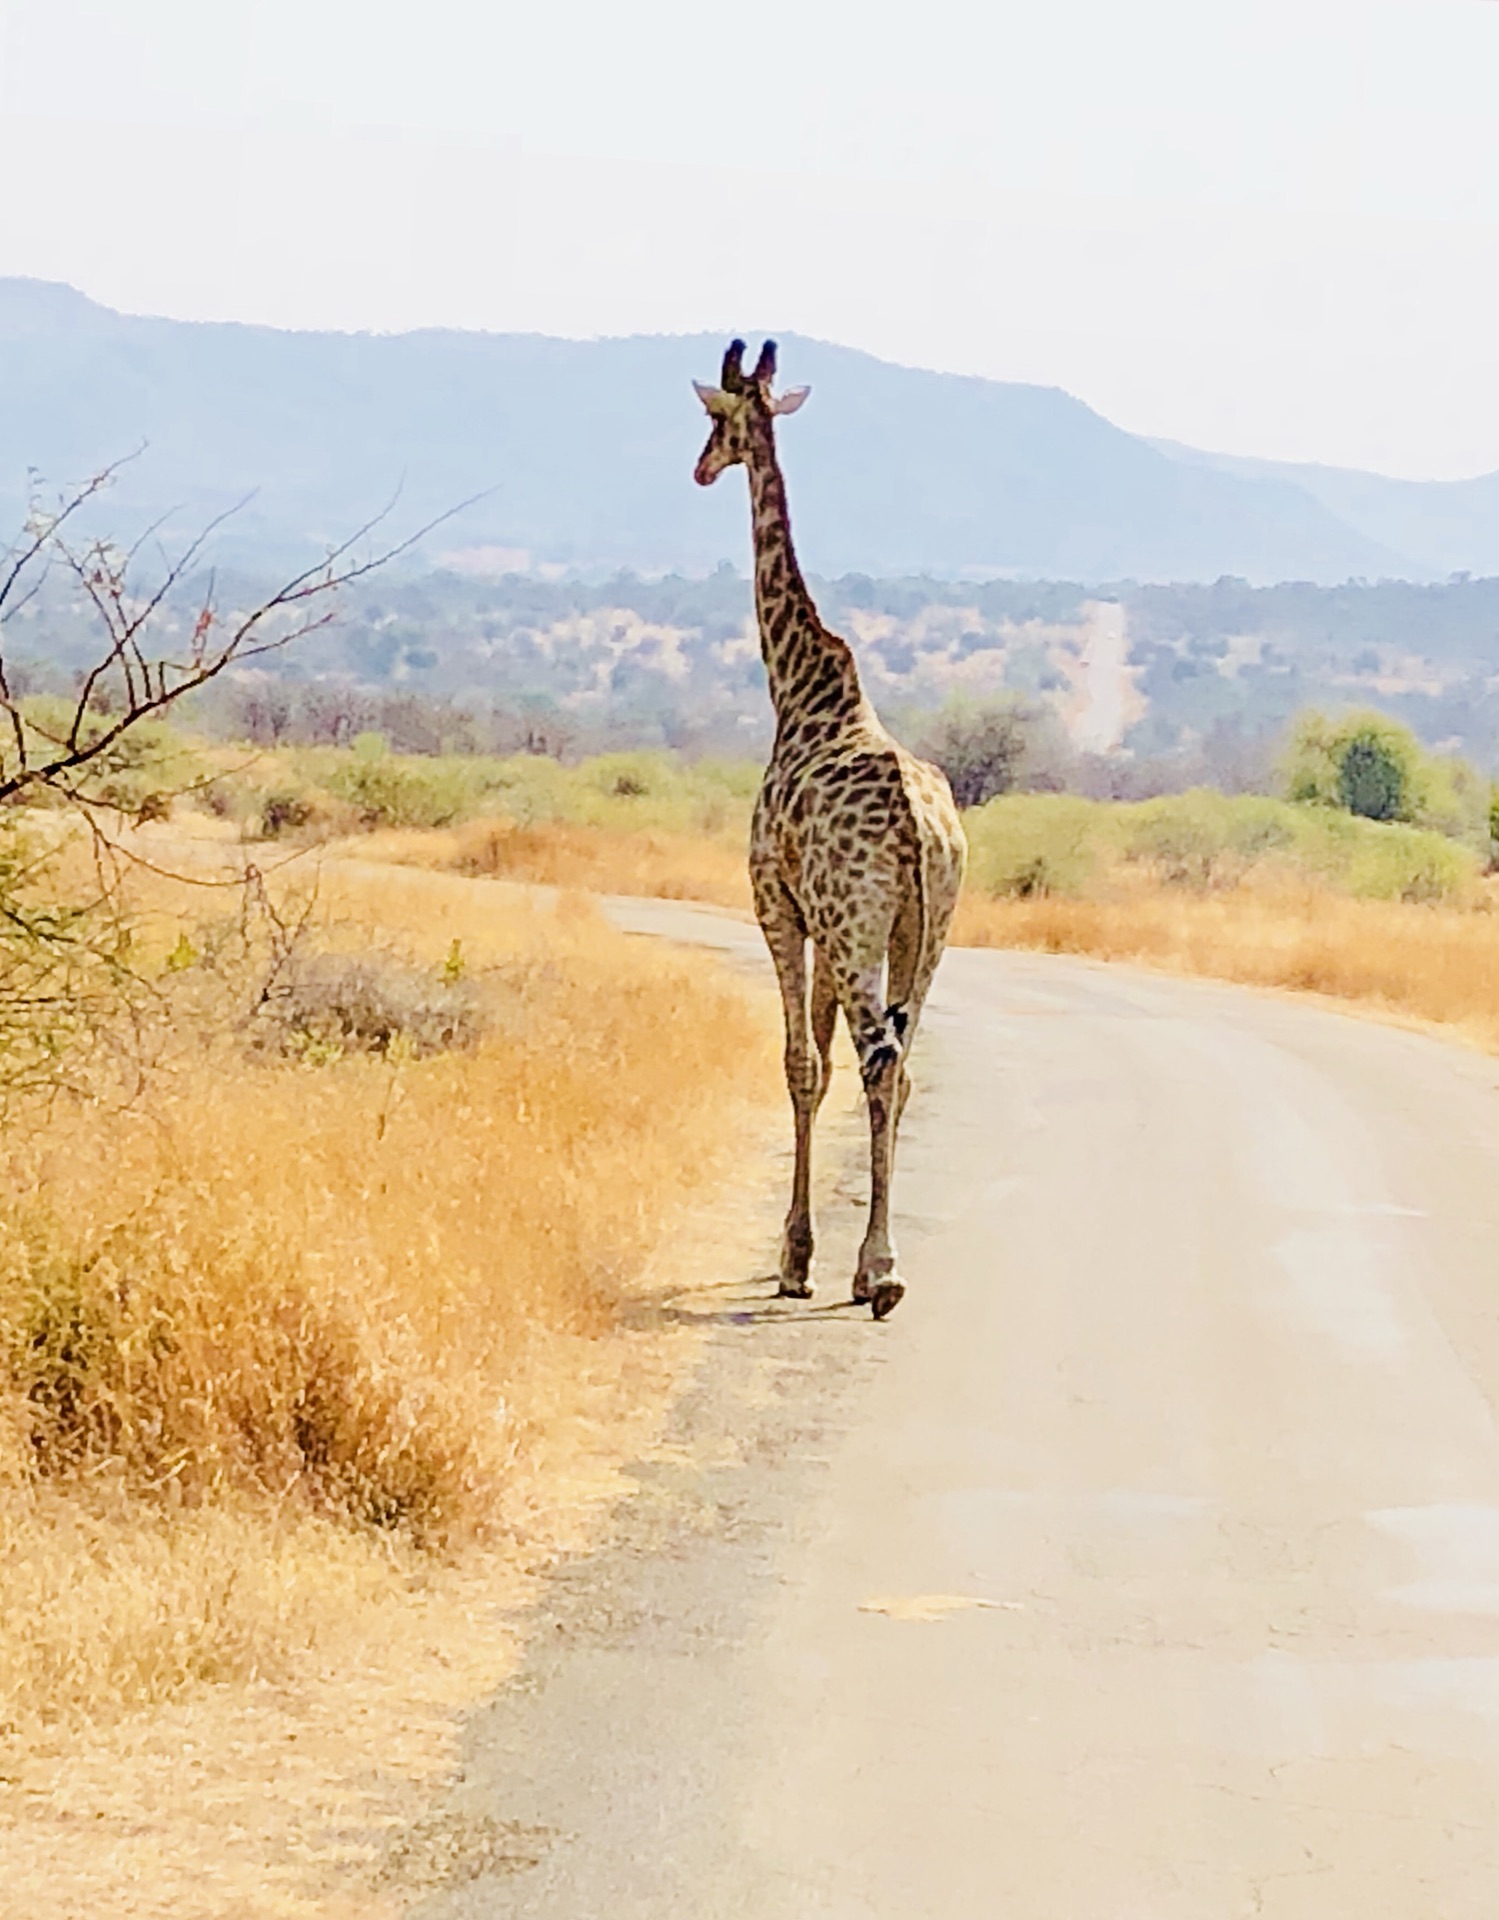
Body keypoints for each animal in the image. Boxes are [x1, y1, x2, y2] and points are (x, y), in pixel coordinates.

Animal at [694, 337, 963, 1320]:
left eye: (716, 420)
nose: (700, 468)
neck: (797, 689)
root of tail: (920, 830)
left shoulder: (777, 904)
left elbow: (799, 1065)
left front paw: (795, 1257)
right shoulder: (823, 919)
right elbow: (820, 1060)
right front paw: (809, 1252)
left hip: (856, 929)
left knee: (879, 1061)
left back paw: (878, 1271)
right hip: (925, 932)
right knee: (902, 1063)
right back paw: (874, 1265)